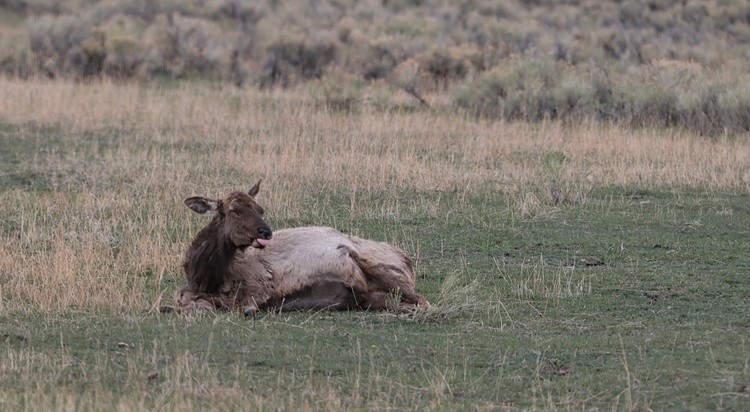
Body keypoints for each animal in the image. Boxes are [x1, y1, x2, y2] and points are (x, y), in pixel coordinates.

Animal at [174, 180, 429, 316]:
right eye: (234, 210)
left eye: (260, 208)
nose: (265, 232)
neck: (207, 276)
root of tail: (407, 260)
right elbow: (182, 296)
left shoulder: (259, 284)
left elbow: (241, 307)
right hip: (370, 294)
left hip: (384, 269)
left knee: (422, 300)